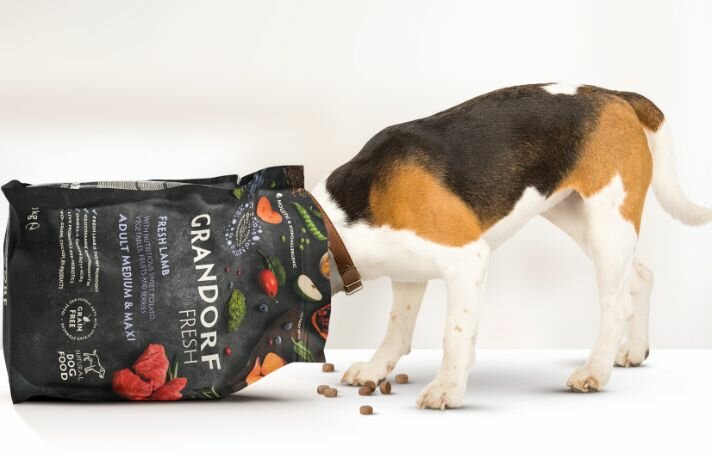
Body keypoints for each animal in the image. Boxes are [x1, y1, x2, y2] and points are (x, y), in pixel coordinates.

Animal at [310, 83, 712, 409]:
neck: (343, 219)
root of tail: (615, 95)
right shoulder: (408, 272)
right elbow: (397, 329)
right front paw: (375, 369)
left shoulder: (467, 259)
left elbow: (455, 334)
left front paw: (448, 388)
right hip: (581, 220)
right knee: (640, 276)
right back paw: (635, 351)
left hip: (608, 224)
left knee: (616, 306)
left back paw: (594, 371)